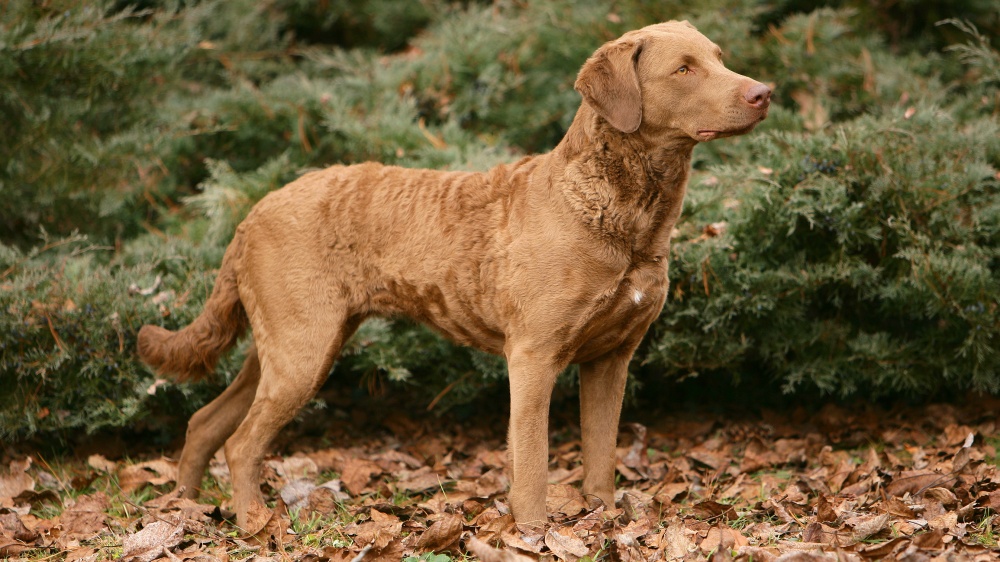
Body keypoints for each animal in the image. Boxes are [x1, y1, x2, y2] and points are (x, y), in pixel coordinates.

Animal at [137, 20, 768, 528]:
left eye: (719, 56)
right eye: (683, 69)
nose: (764, 92)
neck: (621, 216)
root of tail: (252, 212)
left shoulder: (612, 358)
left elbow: (600, 456)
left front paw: (602, 519)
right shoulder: (534, 356)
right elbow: (532, 462)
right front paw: (534, 533)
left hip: (285, 346)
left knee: (205, 422)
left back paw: (185, 509)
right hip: (302, 350)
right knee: (240, 443)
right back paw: (254, 522)